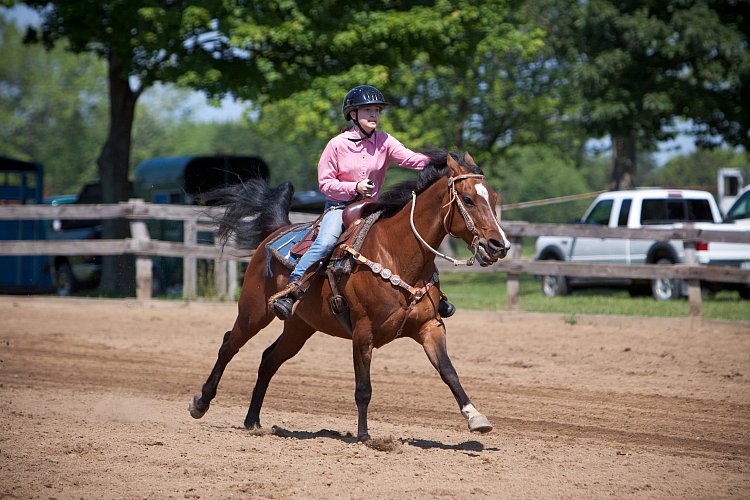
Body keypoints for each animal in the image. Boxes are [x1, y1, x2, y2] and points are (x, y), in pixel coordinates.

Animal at [191, 149, 516, 442]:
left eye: (494, 199)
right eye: (469, 199)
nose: (499, 245)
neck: (397, 254)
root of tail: (277, 232)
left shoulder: (430, 326)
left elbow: (449, 372)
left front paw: (476, 418)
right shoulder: (363, 330)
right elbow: (364, 388)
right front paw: (363, 435)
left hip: (300, 326)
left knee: (268, 359)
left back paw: (252, 420)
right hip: (254, 311)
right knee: (229, 345)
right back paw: (201, 403)